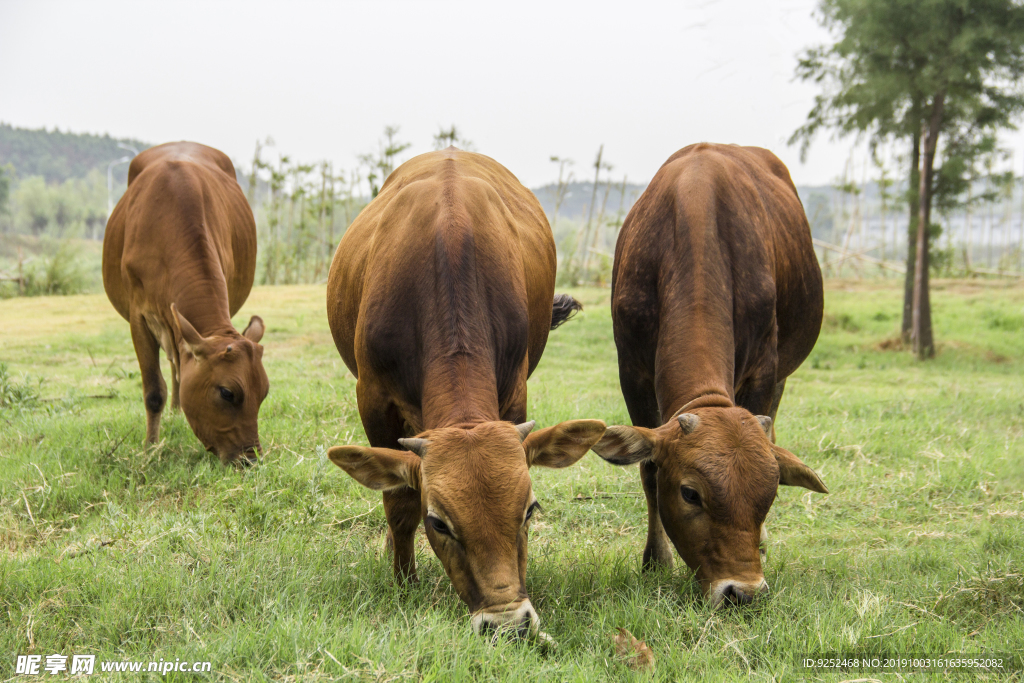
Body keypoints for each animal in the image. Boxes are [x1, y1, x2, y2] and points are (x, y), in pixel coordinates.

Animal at [102, 142, 268, 466]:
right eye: (227, 392)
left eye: (264, 393)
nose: (250, 459)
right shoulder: (139, 317)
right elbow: (154, 391)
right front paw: (150, 449)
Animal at [323, 147, 602, 638]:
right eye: (439, 522)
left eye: (530, 509)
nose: (508, 623)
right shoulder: (372, 399)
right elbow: (399, 502)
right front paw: (404, 582)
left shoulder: (513, 393)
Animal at [598, 144, 827, 610]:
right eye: (690, 493)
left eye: (770, 494)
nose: (743, 592)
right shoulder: (632, 373)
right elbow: (648, 470)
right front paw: (655, 560)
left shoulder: (763, 371)